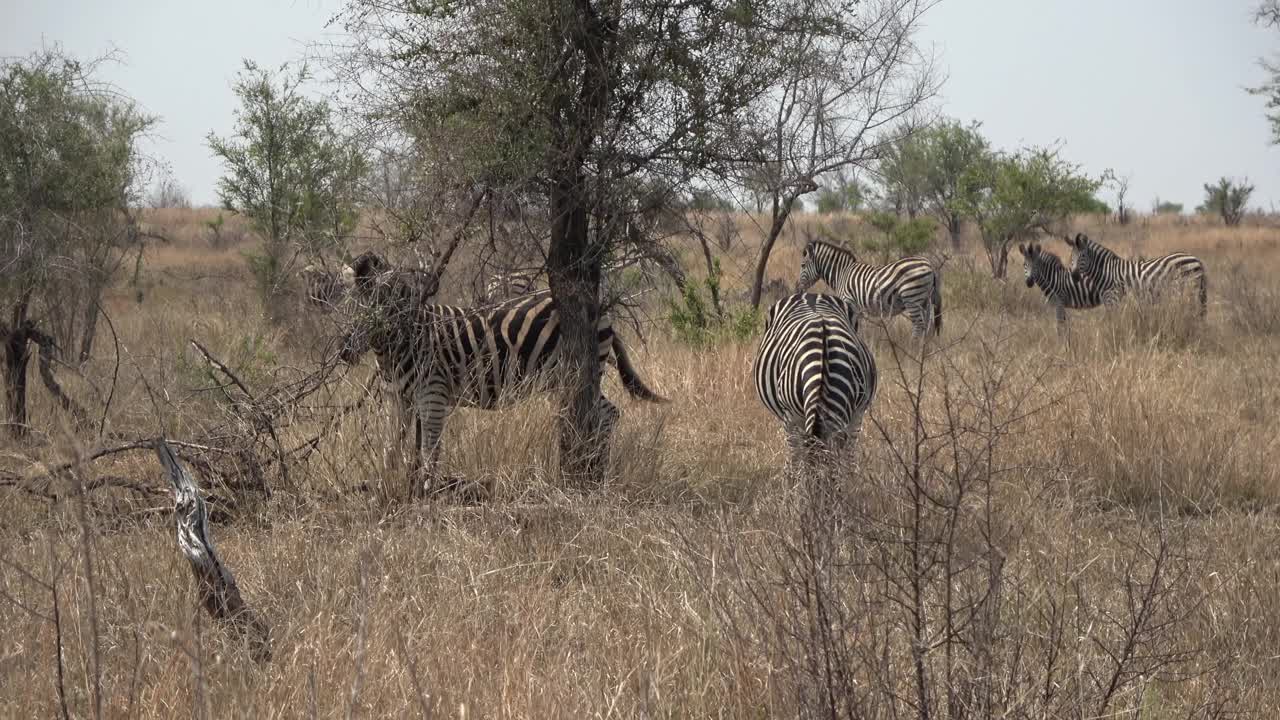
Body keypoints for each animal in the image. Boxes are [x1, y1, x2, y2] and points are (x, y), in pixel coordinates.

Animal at [335, 249, 665, 497]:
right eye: (343, 310)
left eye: (369, 313)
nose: (343, 351)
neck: (404, 339)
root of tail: (602, 308)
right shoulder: (398, 399)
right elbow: (391, 448)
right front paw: (385, 488)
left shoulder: (434, 395)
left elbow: (430, 450)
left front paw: (426, 493)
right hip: (571, 377)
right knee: (608, 412)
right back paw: (594, 468)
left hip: (580, 371)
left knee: (604, 415)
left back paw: (598, 473)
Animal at [793, 235, 947, 335]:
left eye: (802, 265)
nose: (798, 289)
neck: (842, 273)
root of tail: (929, 265)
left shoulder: (850, 303)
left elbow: (853, 328)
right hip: (925, 300)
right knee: (928, 326)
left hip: (912, 297)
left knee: (919, 325)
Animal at [1064, 233, 1203, 316]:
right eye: (1071, 256)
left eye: (1083, 256)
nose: (1074, 276)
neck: (1106, 271)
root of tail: (1195, 258)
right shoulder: (1109, 300)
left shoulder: (1113, 298)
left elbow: (1113, 322)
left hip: (1185, 290)